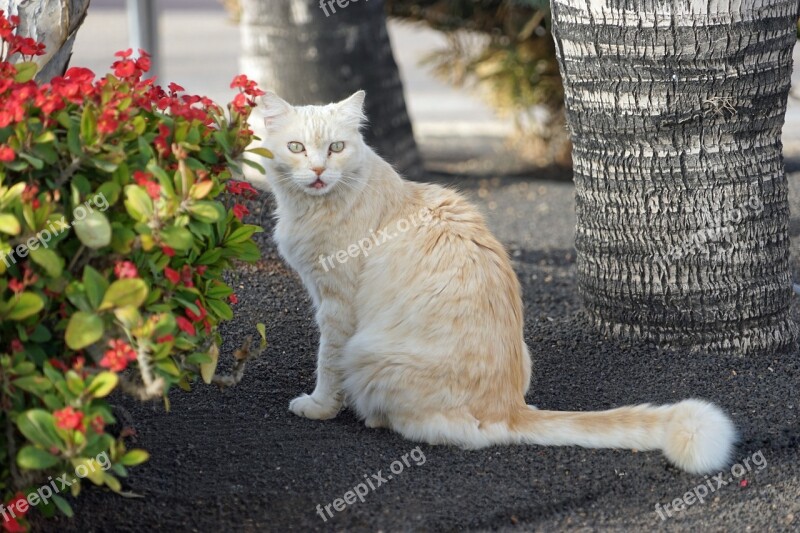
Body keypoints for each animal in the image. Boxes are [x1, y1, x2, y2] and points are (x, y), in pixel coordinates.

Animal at [258, 90, 736, 474]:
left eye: (336, 148)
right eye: (297, 148)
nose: (318, 171)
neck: (318, 206)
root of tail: (510, 409)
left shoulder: (335, 307)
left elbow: (326, 365)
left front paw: (319, 407)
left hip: (368, 354)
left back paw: (374, 415)